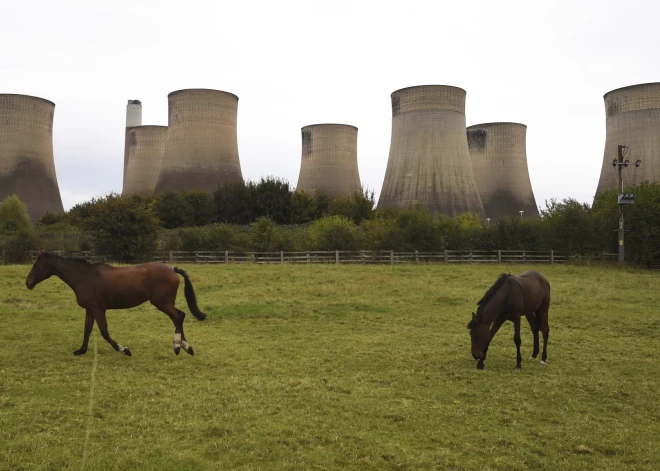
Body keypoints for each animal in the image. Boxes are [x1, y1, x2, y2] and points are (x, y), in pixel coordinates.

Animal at [25, 253, 206, 356]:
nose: (28, 283)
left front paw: (124, 350)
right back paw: (186, 347)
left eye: (36, 265)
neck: (85, 277)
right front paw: (81, 351)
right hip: (167, 303)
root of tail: (172, 269)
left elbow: (104, 332)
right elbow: (87, 330)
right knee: (178, 318)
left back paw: (178, 346)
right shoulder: (90, 309)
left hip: (162, 303)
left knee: (179, 316)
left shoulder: (98, 309)